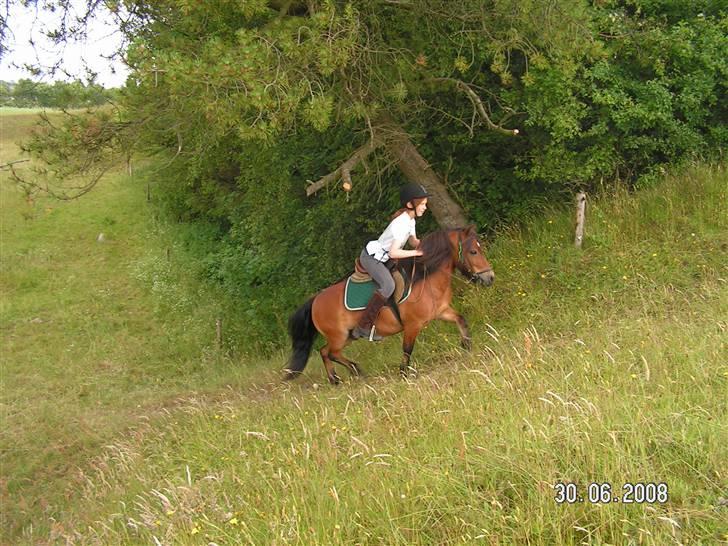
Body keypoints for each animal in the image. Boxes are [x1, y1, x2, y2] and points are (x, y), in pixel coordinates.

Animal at [284, 225, 494, 382]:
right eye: (473, 251)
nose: (490, 277)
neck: (425, 278)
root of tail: (315, 299)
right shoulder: (412, 325)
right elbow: (407, 349)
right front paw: (403, 373)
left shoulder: (441, 311)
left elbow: (461, 320)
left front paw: (466, 345)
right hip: (339, 335)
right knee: (331, 353)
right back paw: (355, 370)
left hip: (348, 335)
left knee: (325, 352)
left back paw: (336, 379)